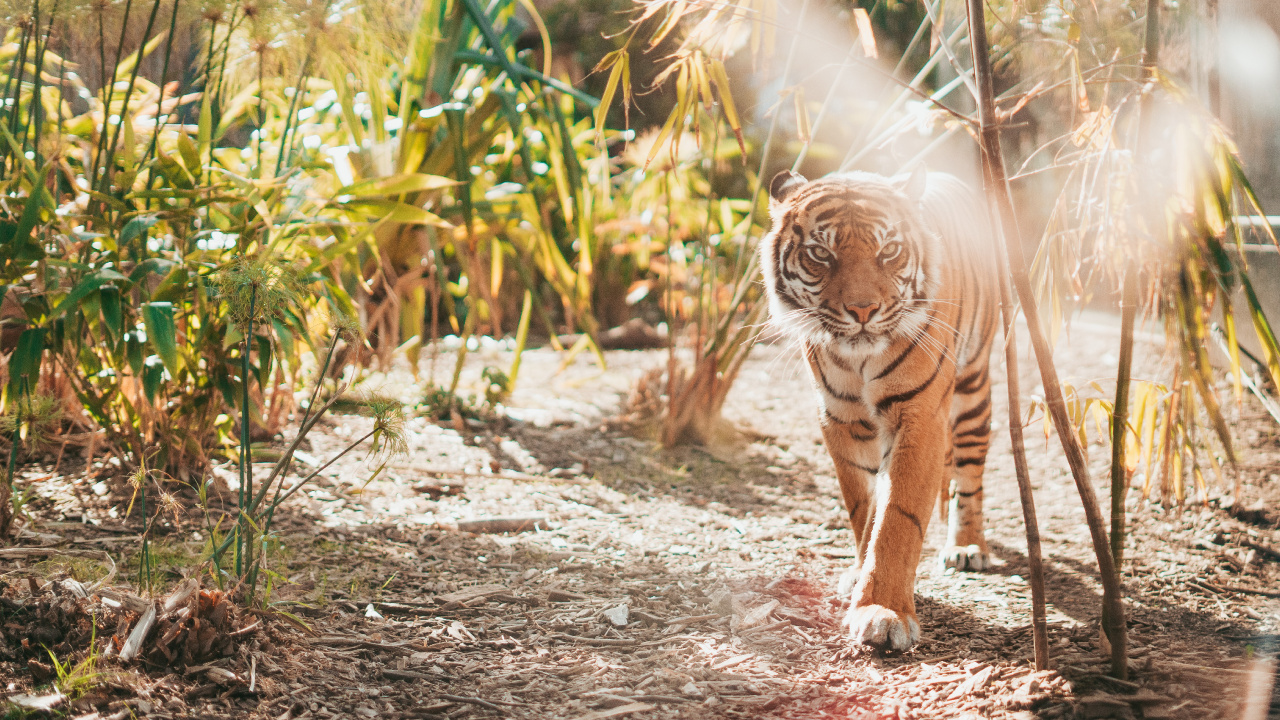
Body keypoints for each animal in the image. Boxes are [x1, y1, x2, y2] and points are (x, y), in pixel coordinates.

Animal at [760, 168, 1000, 651]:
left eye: (888, 251)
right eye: (821, 253)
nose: (863, 310)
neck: (858, 360)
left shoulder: (919, 416)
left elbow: (897, 517)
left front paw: (883, 612)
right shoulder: (840, 419)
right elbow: (864, 508)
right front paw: (859, 576)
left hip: (973, 391)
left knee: (969, 476)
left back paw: (967, 546)